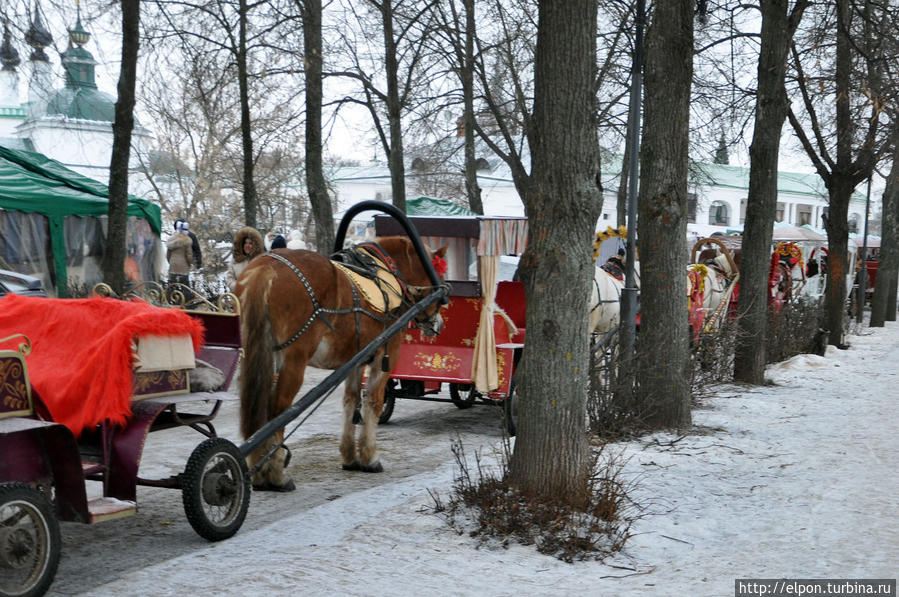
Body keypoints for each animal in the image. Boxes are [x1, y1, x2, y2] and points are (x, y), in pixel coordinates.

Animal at [237, 235, 448, 492]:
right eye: (440, 273)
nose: (438, 324)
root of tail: (266, 267)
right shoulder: (384, 357)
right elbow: (373, 401)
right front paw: (369, 457)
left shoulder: (354, 361)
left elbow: (351, 401)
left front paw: (350, 456)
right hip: (293, 361)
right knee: (277, 410)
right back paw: (276, 474)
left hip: (257, 357)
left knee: (256, 409)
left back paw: (259, 469)